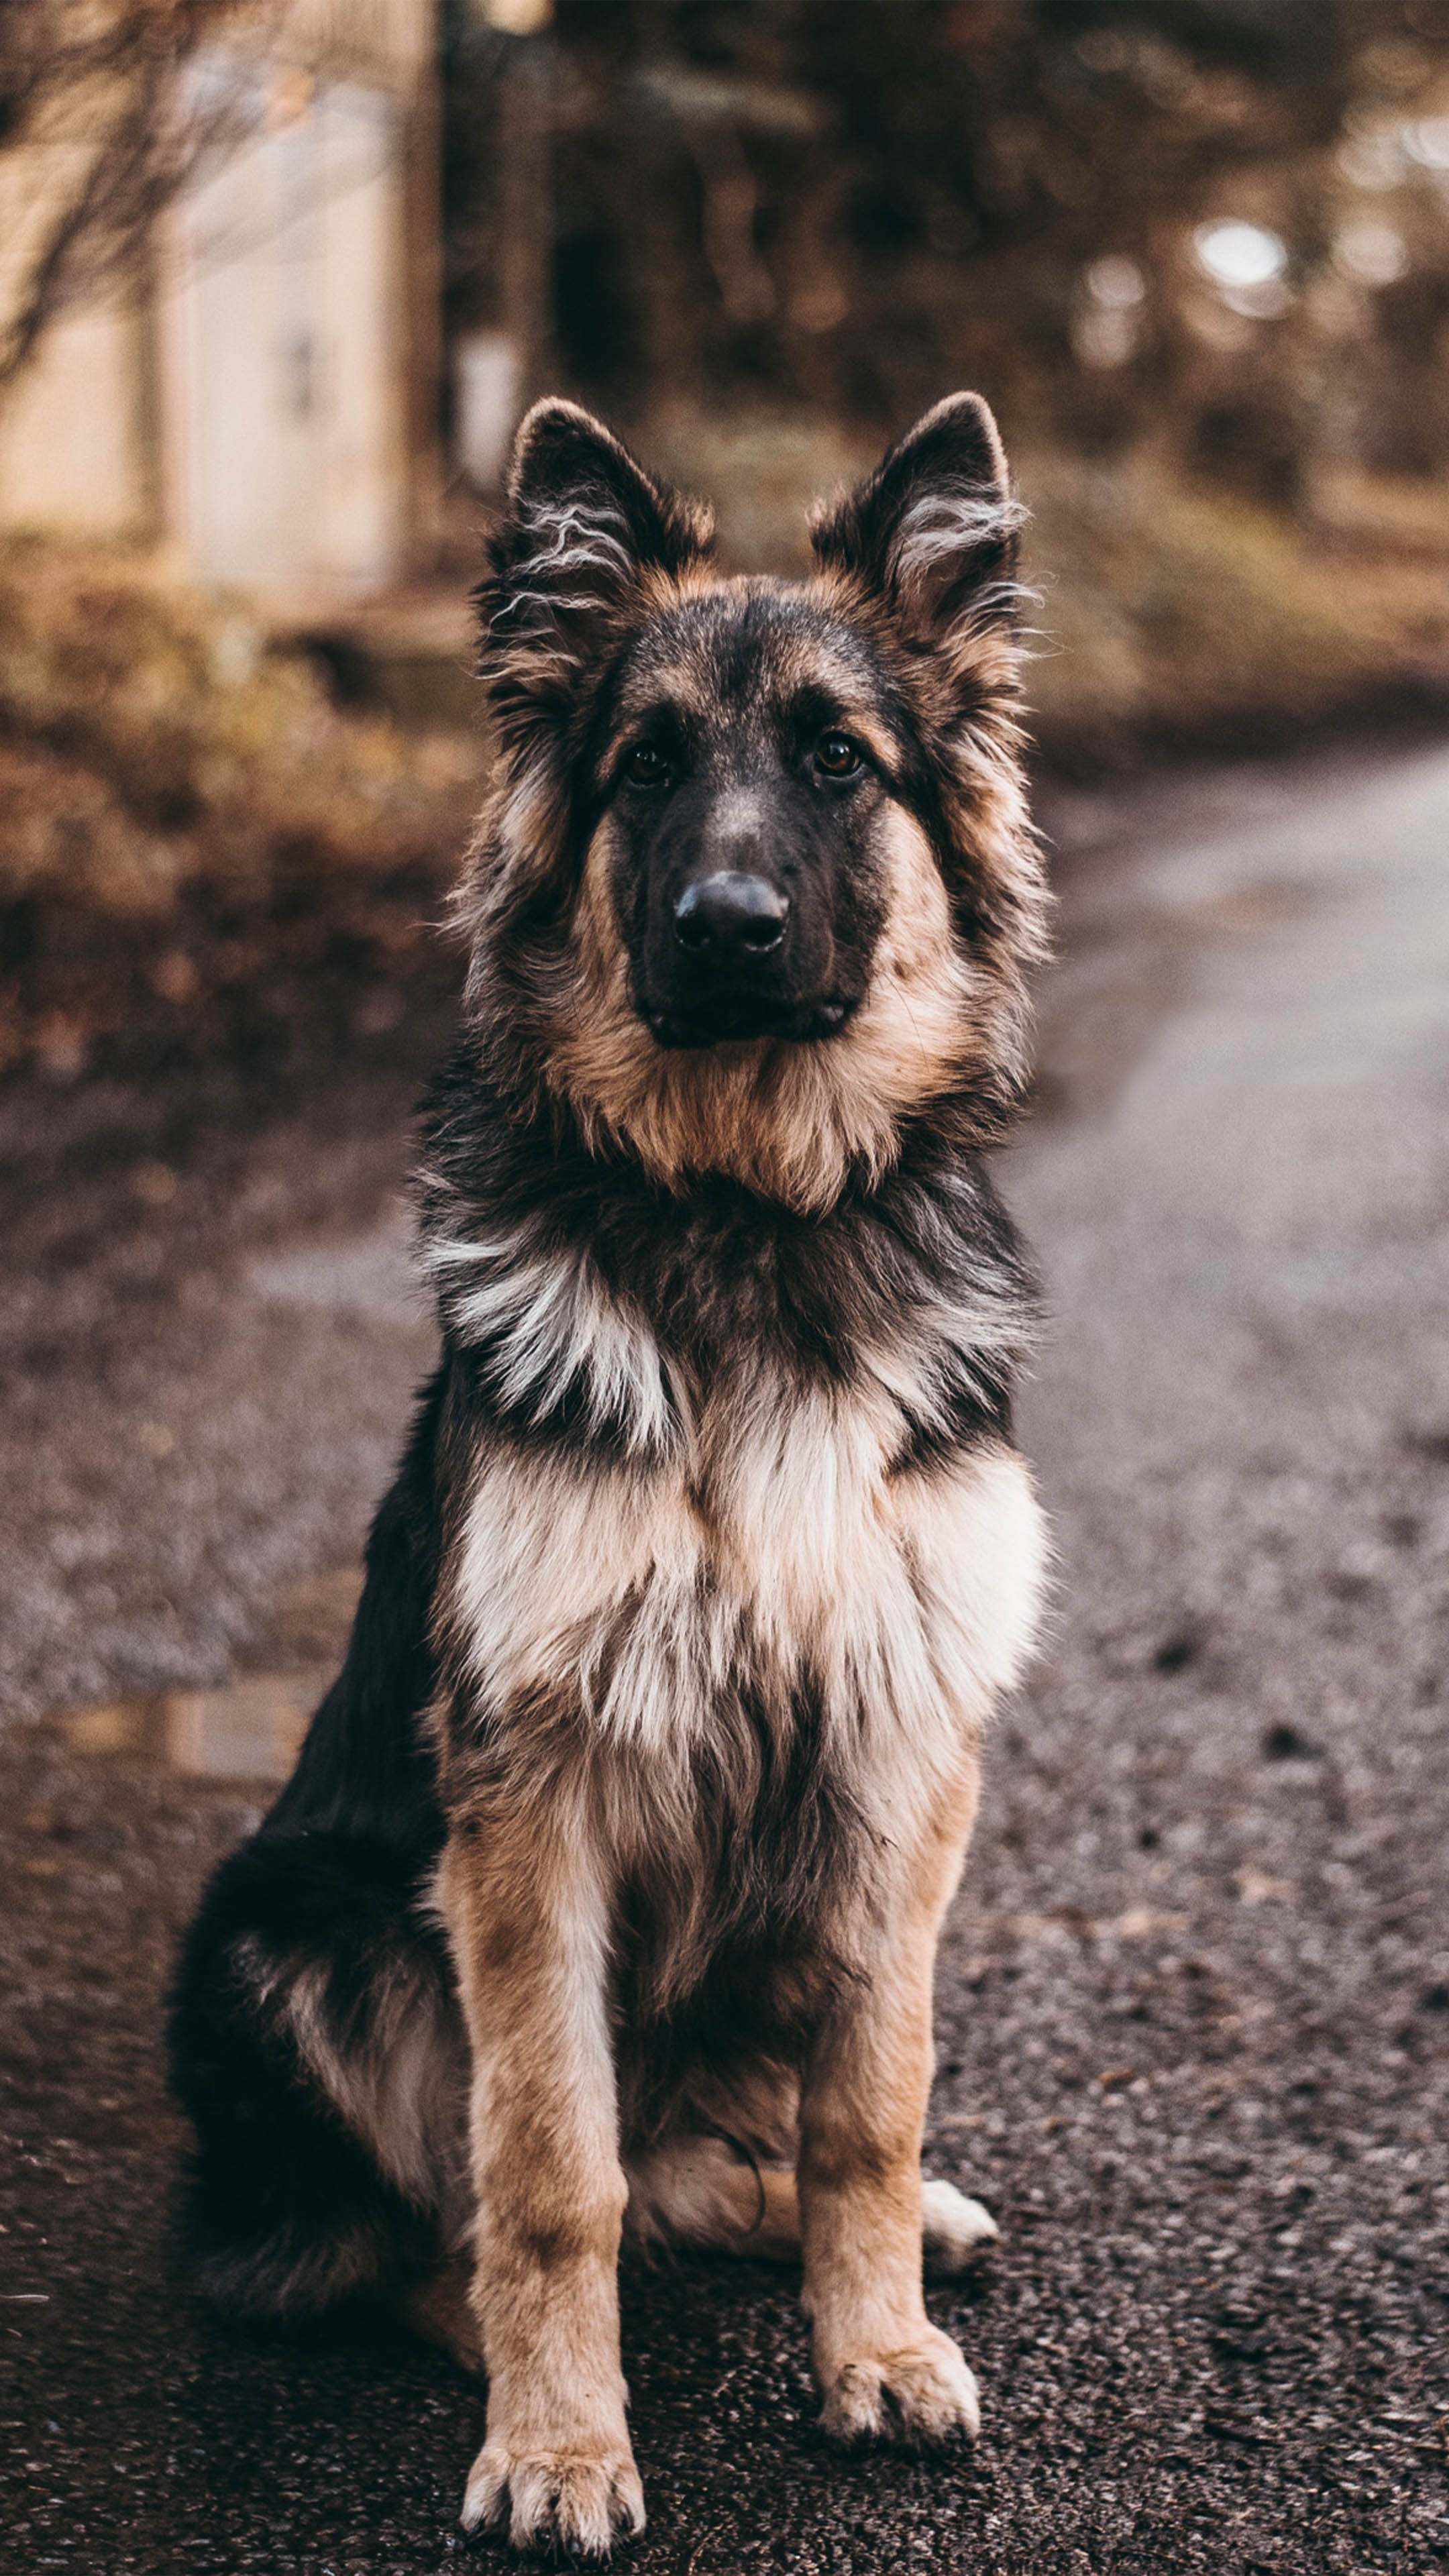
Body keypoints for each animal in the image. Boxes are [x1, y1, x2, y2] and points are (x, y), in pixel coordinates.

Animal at [168, 391, 1041, 2544]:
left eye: (837, 759)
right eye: (644, 767)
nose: (725, 928)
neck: (744, 1217)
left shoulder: (898, 1748)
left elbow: (871, 2103)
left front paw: (874, 2343)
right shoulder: (530, 1800)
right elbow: (546, 2164)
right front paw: (563, 2438)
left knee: (720, 2160)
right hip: (289, 1935)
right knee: (422, 2224)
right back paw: (487, 2332)